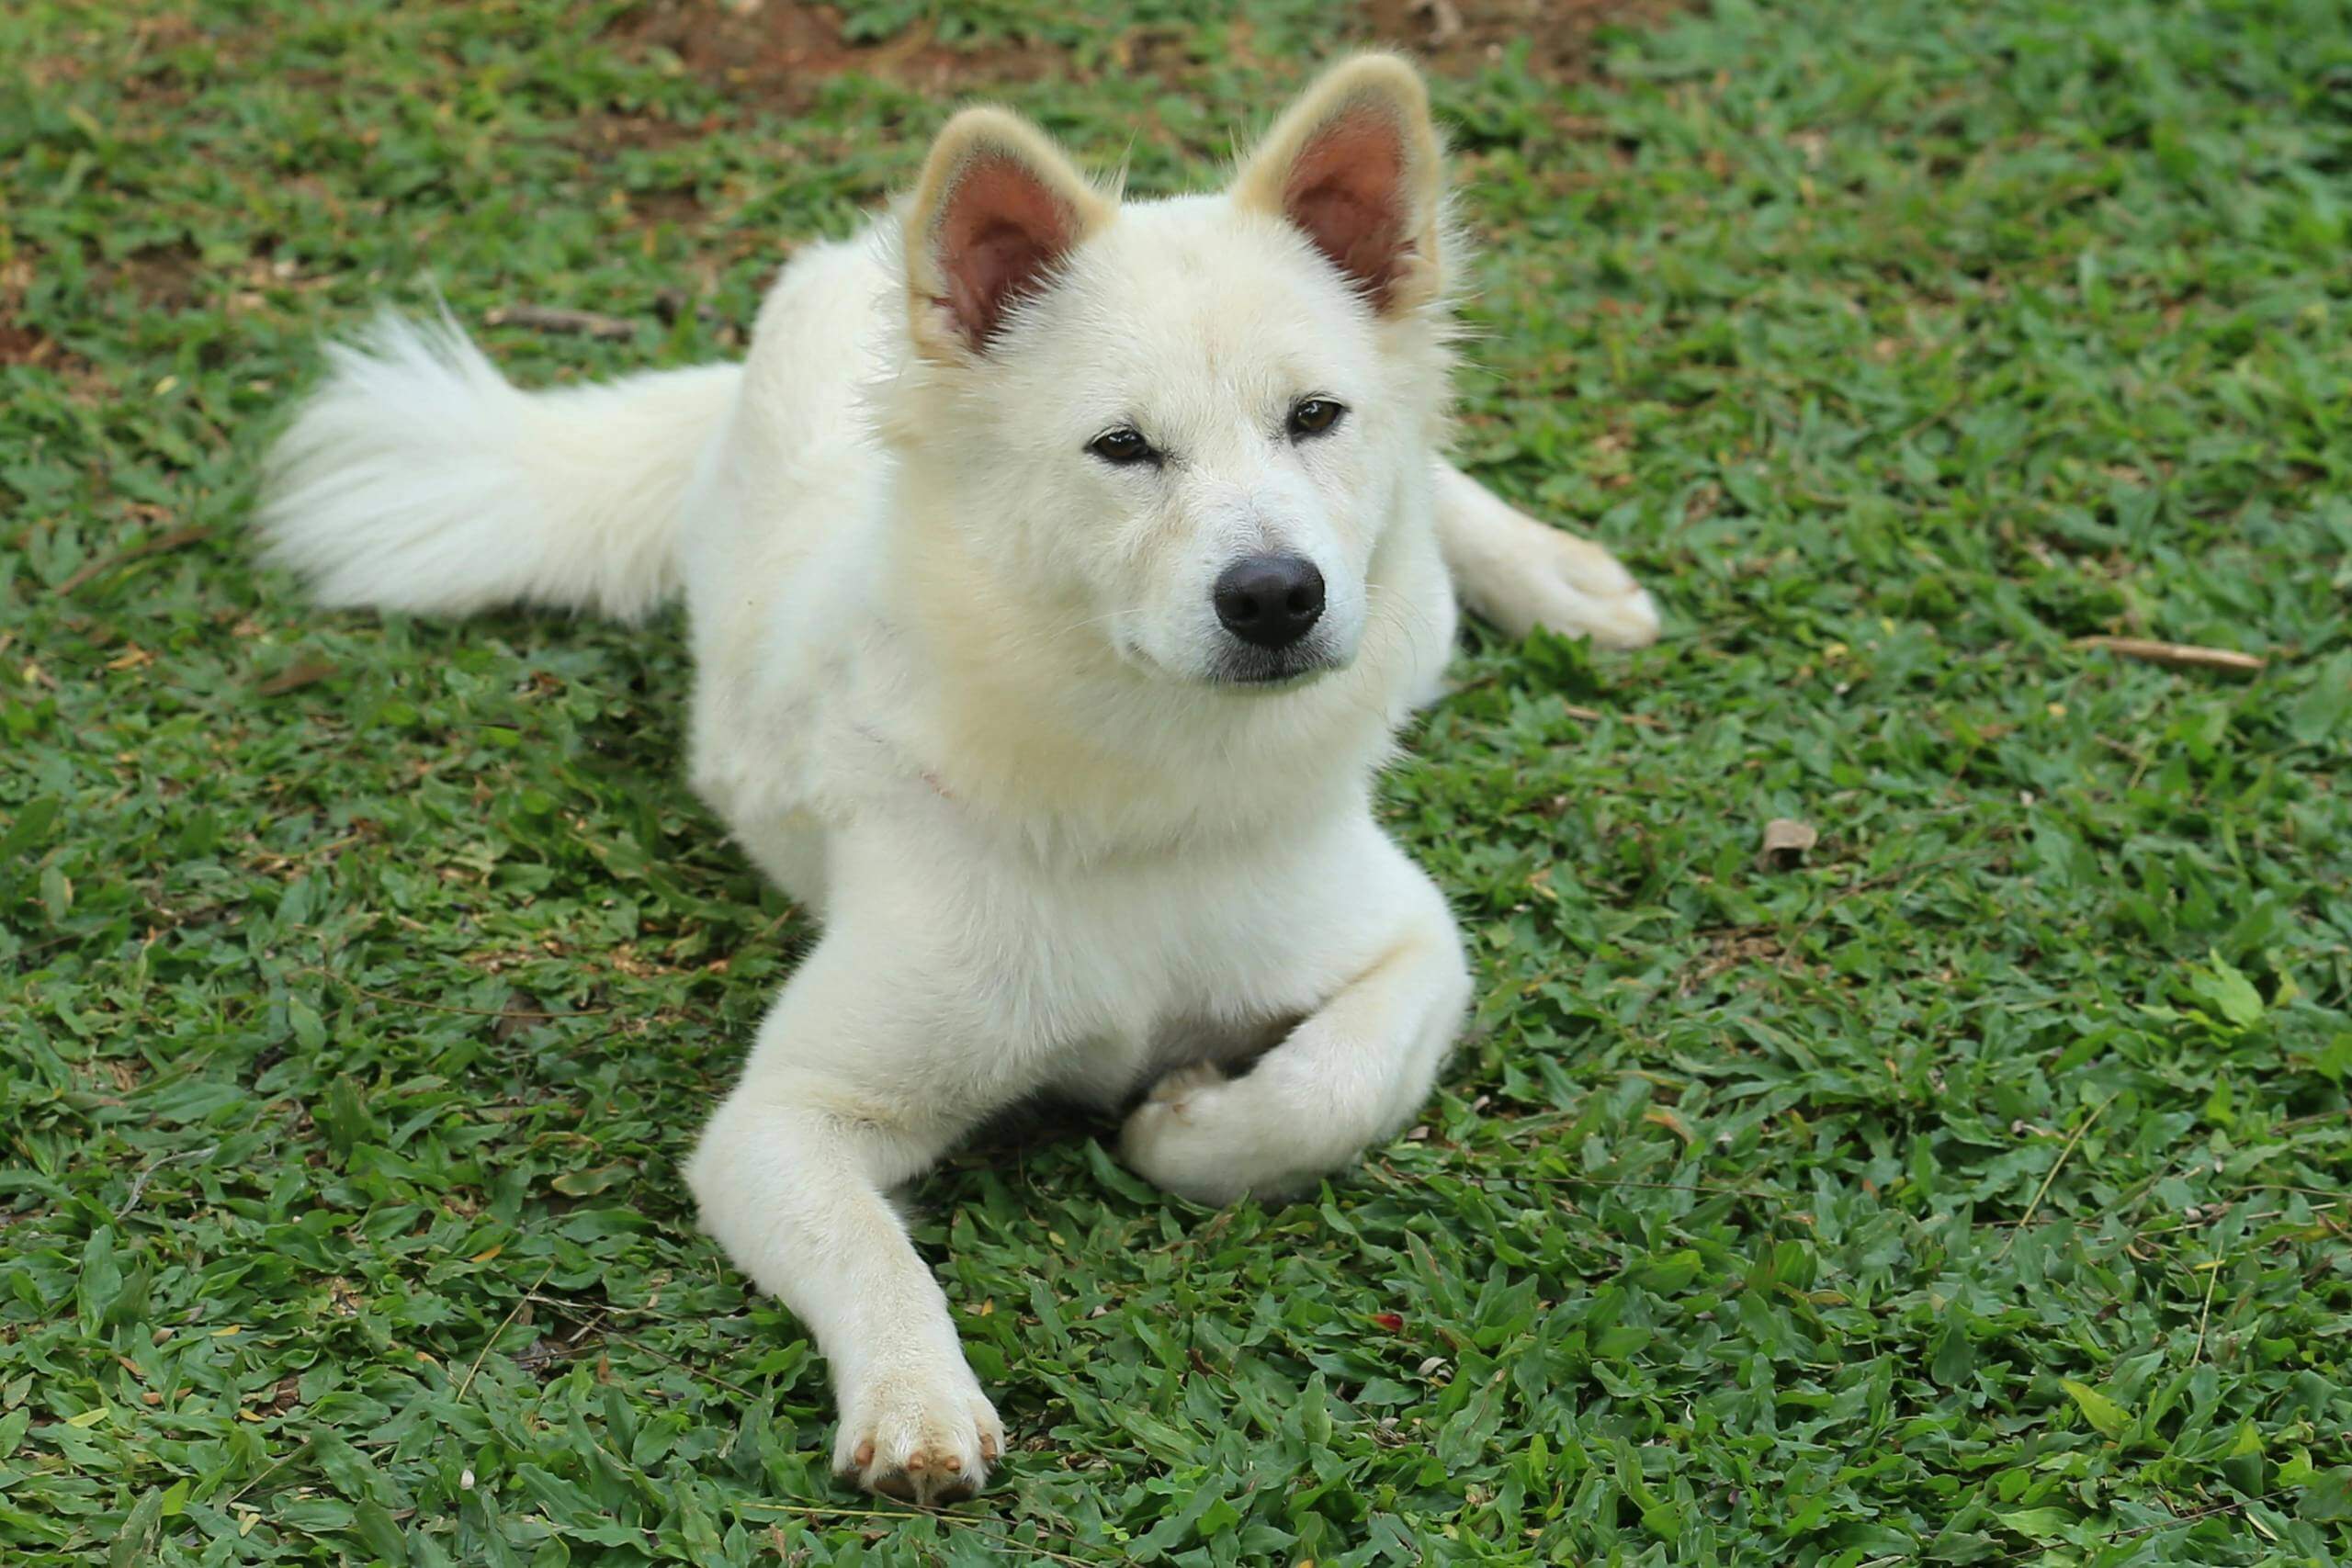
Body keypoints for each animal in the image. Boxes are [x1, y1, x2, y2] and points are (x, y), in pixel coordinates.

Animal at [253, 58, 1656, 1504]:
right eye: (1123, 448)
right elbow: (872, 1250)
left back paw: (1554, 573)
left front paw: (1186, 1122)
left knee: (1431, 483)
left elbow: (1333, 1087)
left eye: (1314, 418)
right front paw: (915, 1398)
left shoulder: (1407, 936)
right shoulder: (782, 1120)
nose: (1278, 596)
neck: (1141, 782)